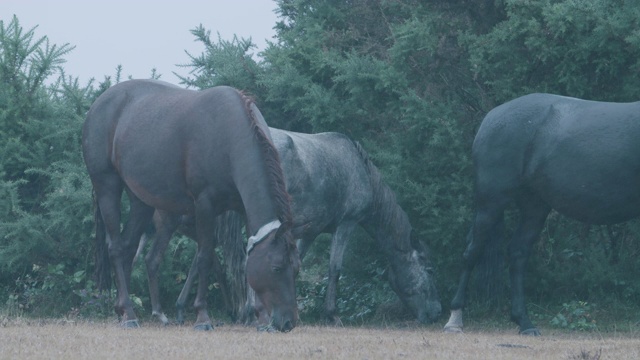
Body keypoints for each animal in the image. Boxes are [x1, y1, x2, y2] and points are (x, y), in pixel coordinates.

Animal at [81, 79, 298, 332]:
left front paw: (261, 318)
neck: (229, 134)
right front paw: (202, 316)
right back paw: (128, 312)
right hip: (107, 187)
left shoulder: (242, 207)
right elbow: (204, 257)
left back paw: (124, 311)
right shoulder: (204, 204)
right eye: (277, 268)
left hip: (141, 202)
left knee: (128, 247)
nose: (288, 322)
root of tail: (97, 105)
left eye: (296, 268)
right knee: (116, 248)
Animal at [140, 127, 440, 326]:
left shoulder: (308, 232)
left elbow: (296, 264)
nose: (435, 313)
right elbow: (334, 268)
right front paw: (331, 314)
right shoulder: (346, 224)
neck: (360, 169)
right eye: (428, 270)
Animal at [442, 93, 640, 334]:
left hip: (534, 207)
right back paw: (455, 318)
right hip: (491, 203)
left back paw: (524, 323)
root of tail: (491, 118)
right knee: (472, 252)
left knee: (517, 253)